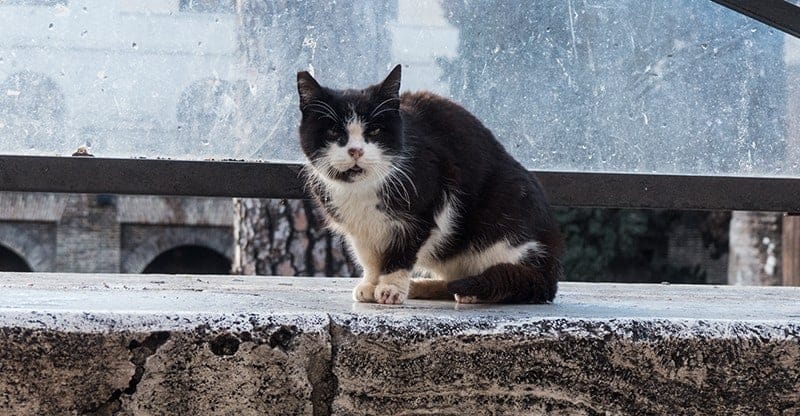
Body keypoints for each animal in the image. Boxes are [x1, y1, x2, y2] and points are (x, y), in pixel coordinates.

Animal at [296, 66, 564, 306]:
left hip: (505, 221)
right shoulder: (361, 228)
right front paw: (371, 284)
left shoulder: (427, 205)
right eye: (333, 131)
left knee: (514, 279)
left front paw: (390, 288)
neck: (361, 190)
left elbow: (401, 252)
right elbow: (371, 258)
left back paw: (470, 292)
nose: (355, 151)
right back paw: (424, 286)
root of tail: (550, 271)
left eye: (374, 130)